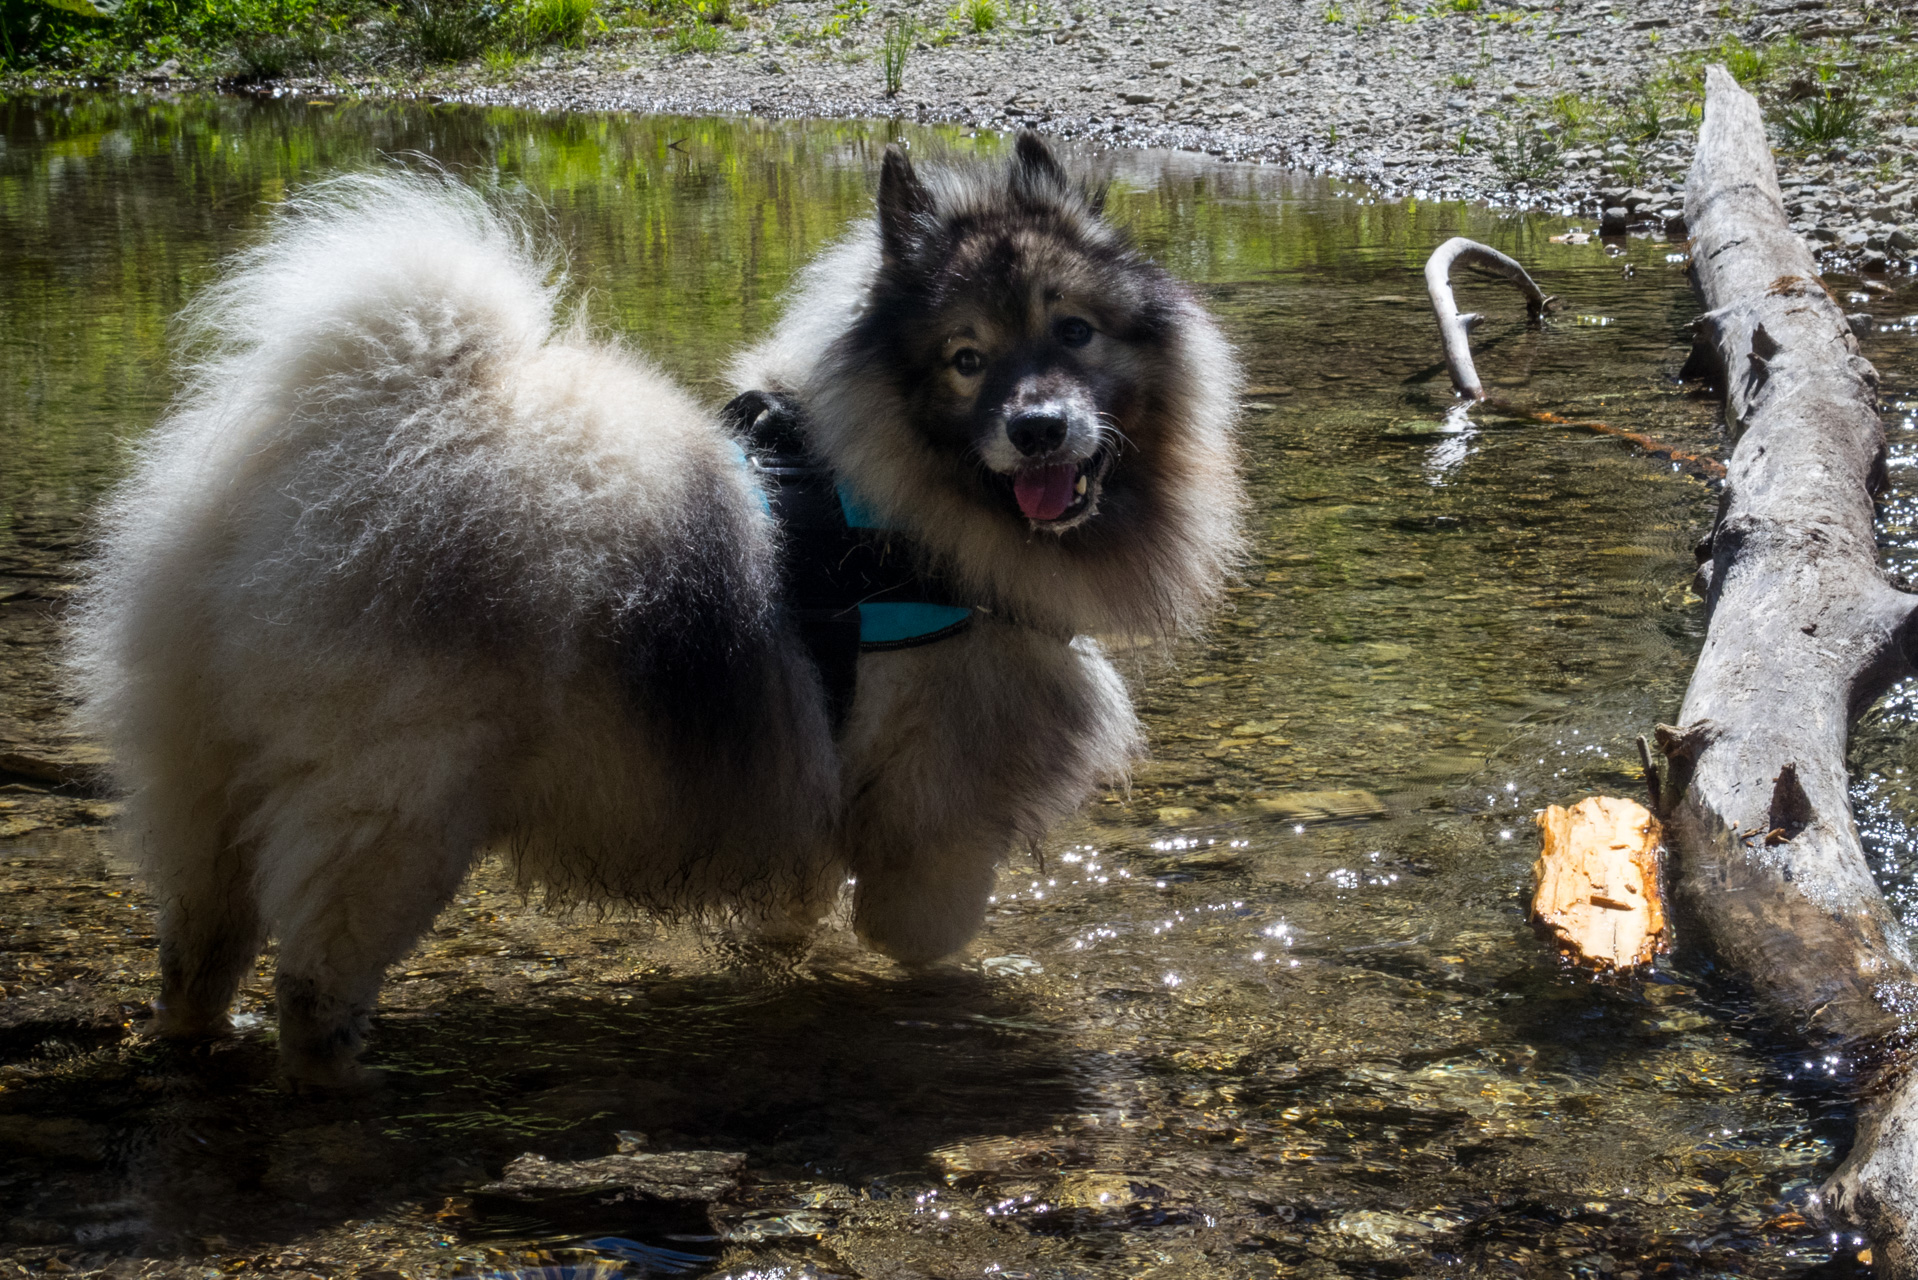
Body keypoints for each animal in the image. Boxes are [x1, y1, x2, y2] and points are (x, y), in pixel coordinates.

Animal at [67, 138, 1242, 1082]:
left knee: (199, 945)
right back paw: (350, 1081)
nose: (1038, 427)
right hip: (399, 810)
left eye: (1075, 333)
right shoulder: (932, 816)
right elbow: (924, 935)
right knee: (312, 982)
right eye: (966, 360)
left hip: (202, 776)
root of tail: (331, 436)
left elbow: (793, 911)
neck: (897, 511)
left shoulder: (799, 785)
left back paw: (196, 1040)